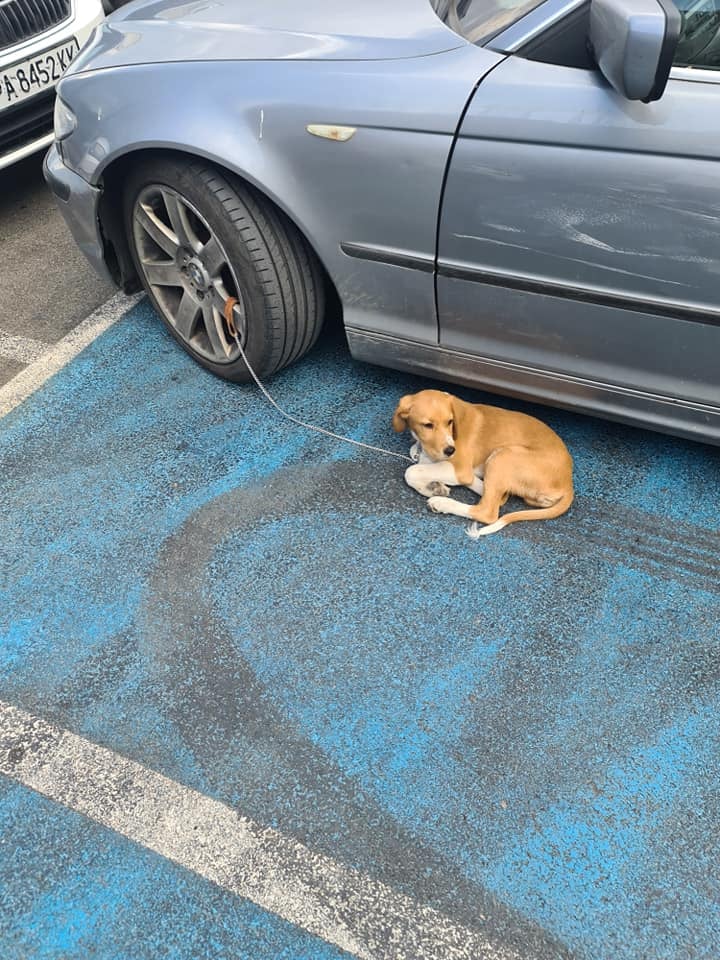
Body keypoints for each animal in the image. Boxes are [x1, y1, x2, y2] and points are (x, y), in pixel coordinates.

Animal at [394, 392, 572, 540]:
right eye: (427, 425)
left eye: (450, 422)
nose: (451, 450)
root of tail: (568, 484)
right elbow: (417, 457)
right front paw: (433, 486)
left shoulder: (460, 469)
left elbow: (411, 471)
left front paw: (430, 487)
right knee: (498, 496)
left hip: (503, 456)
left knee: (488, 511)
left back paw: (441, 503)